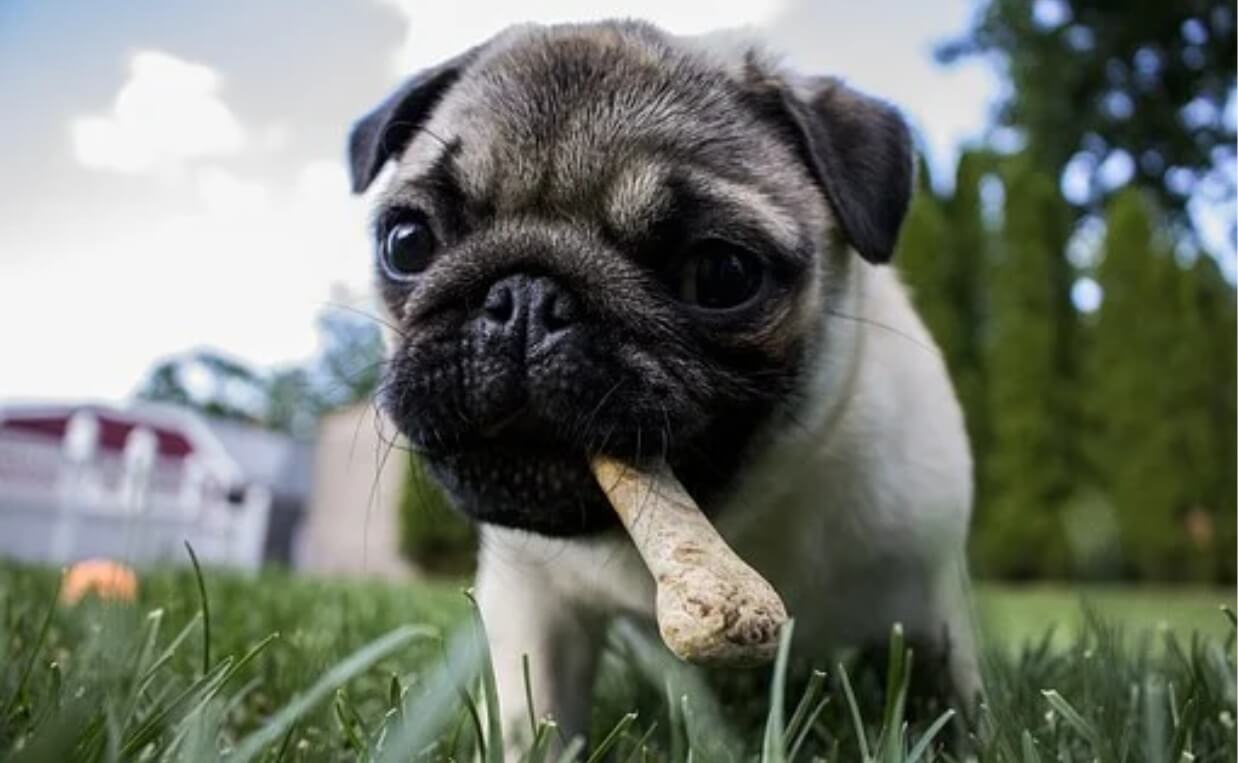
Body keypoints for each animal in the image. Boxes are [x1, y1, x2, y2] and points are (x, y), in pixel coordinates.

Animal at [346, 19, 975, 753]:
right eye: (407, 242)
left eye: (723, 274)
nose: (526, 298)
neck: (733, 518)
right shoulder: (532, 604)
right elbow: (533, 717)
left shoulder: (931, 598)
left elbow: (957, 700)